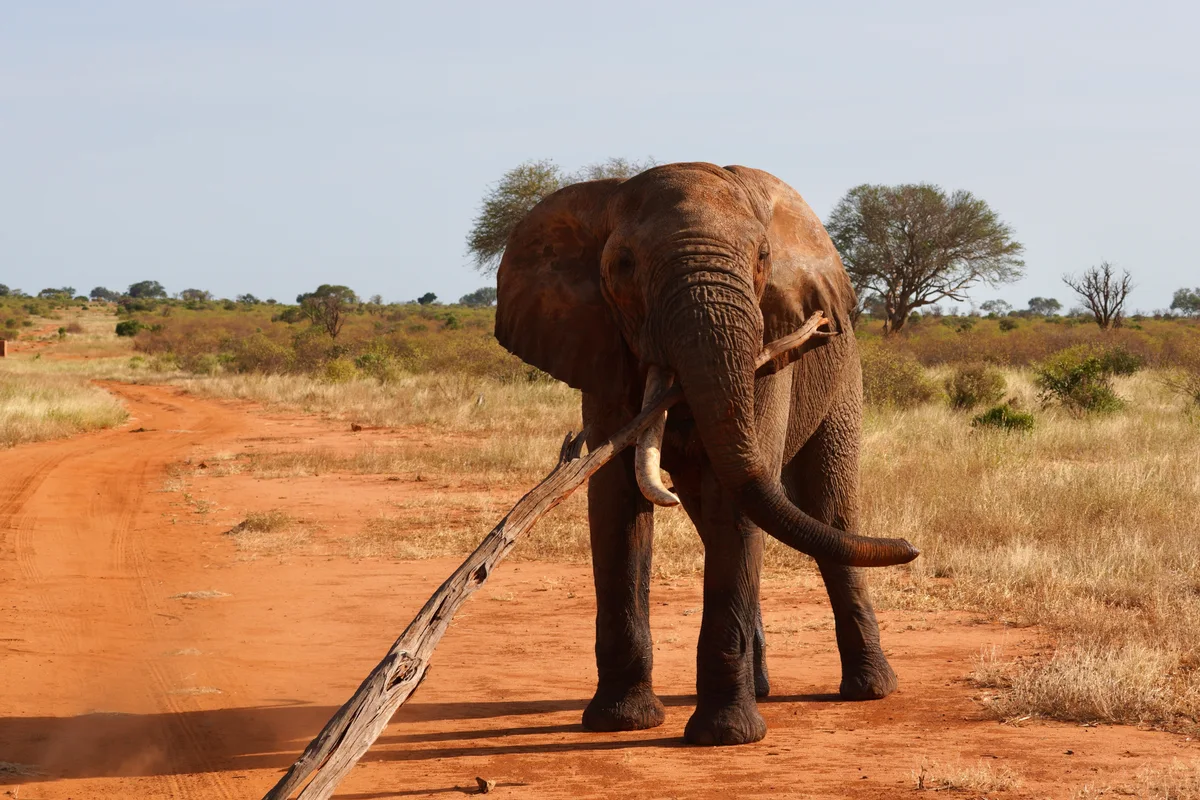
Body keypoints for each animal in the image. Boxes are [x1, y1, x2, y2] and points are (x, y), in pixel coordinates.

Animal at [494, 162, 917, 746]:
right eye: (623, 266)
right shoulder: (600, 350)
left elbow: (734, 507)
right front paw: (621, 722)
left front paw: (726, 736)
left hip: (843, 374)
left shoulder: (771, 349)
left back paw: (870, 689)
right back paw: (762, 688)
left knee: (828, 510)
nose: (910, 546)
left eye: (762, 257)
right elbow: (616, 497)